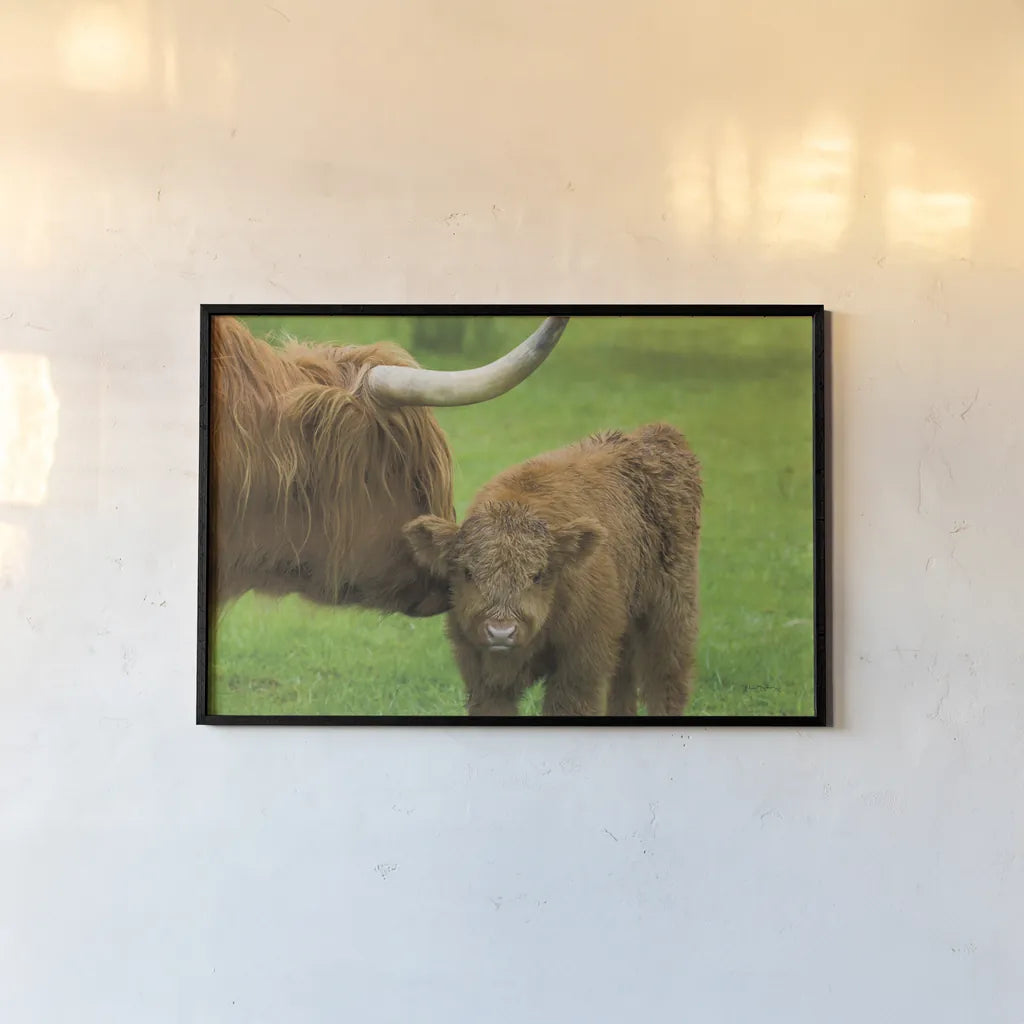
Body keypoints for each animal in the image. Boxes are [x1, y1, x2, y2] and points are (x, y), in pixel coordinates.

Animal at [403, 423, 703, 716]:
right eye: (468, 572)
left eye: (537, 575)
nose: (501, 632)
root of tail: (658, 435)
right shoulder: (482, 676)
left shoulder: (579, 666)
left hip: (670, 613)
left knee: (666, 680)